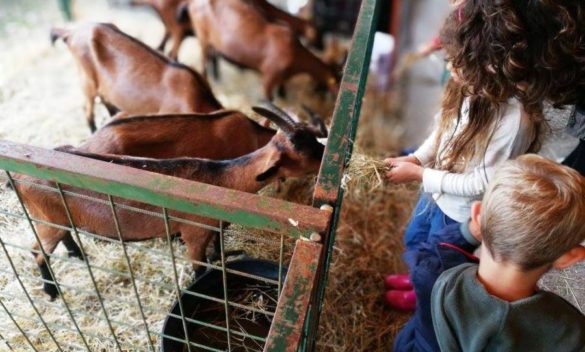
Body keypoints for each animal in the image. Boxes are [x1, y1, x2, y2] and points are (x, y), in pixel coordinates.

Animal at [12, 103, 324, 298]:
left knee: (62, 237)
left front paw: (226, 256)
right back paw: (52, 292)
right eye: (304, 151)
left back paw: (78, 255)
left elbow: (218, 248)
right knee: (37, 251)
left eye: (312, 138)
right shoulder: (193, 234)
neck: (219, 179)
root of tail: (16, 177)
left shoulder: (212, 228)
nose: (328, 159)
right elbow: (199, 269)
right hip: (47, 220)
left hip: (58, 219)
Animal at [185, 0, 340, 99]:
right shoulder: (269, 76)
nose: (322, 46)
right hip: (203, 38)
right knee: (204, 64)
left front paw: (283, 94)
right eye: (318, 33)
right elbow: (268, 101)